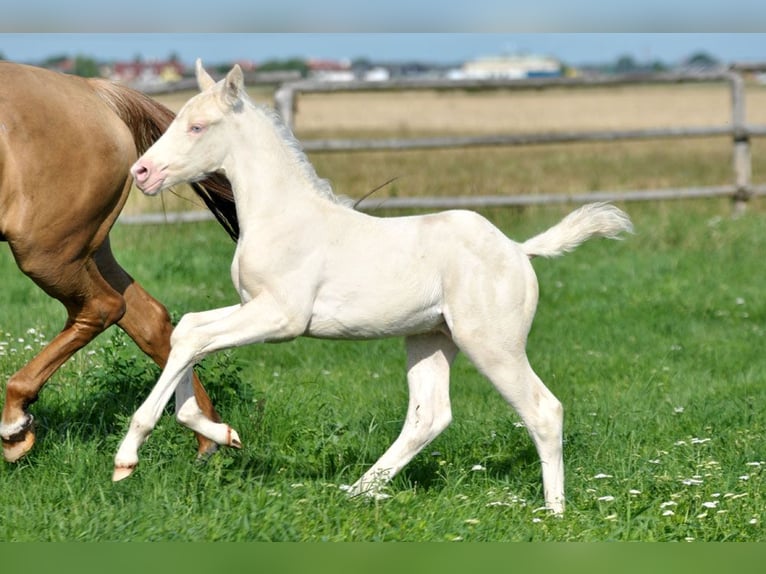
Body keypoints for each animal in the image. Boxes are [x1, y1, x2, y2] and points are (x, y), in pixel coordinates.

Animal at [0, 61, 239, 463]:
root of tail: (96, 93)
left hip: (43, 250)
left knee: (103, 307)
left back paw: (15, 423)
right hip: (87, 249)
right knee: (150, 319)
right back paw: (209, 438)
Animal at [115, 60, 633, 514]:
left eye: (197, 127)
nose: (141, 172)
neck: (283, 216)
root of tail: (519, 250)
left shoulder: (282, 317)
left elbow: (195, 338)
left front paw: (128, 456)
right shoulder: (253, 306)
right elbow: (189, 330)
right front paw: (220, 434)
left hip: (492, 344)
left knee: (543, 410)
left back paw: (554, 512)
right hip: (430, 338)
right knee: (429, 415)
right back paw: (359, 491)